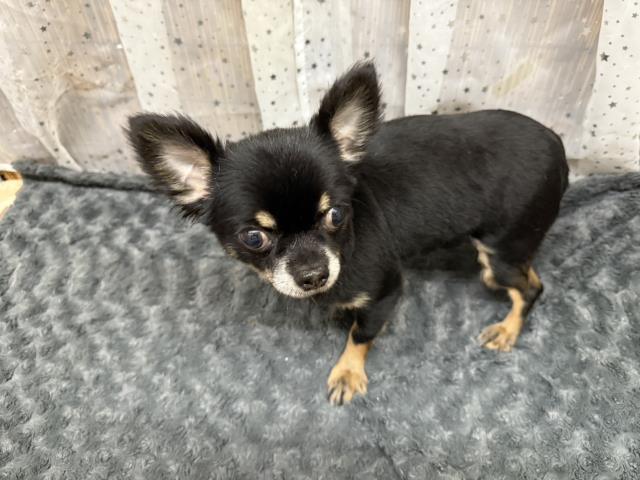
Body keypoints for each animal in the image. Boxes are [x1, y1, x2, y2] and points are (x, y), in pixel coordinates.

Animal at [127, 62, 568, 406]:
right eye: (254, 238)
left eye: (336, 214)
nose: (313, 275)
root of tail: (558, 145)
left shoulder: (386, 291)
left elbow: (361, 335)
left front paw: (347, 373)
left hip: (501, 249)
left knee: (531, 287)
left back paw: (507, 330)